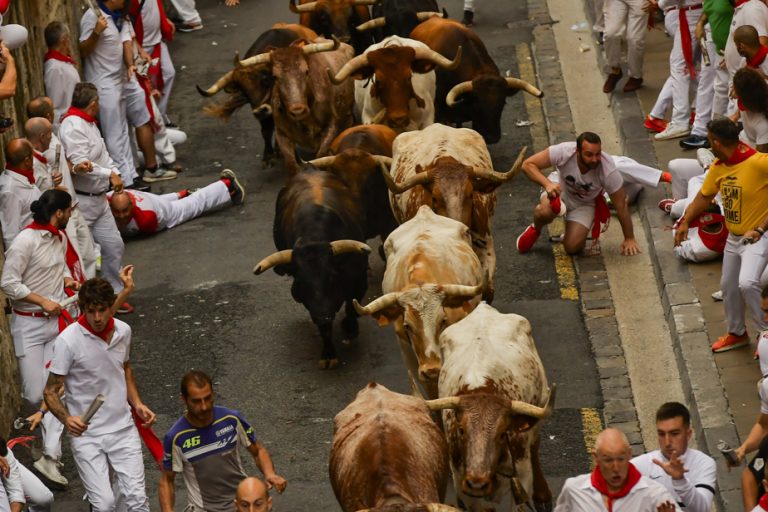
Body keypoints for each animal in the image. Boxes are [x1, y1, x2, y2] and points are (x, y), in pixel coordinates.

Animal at [238, 37, 356, 175]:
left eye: (306, 71)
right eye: (275, 76)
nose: (298, 111)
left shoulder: (331, 125)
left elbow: (321, 156)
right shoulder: (282, 134)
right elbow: (292, 164)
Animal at [254, 168, 370, 368]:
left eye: (331, 276)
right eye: (302, 282)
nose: (324, 316)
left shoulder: (360, 276)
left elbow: (352, 306)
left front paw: (350, 329)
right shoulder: (313, 304)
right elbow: (324, 328)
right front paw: (328, 354)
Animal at [426, 304, 560, 512]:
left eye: (503, 433)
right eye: (461, 430)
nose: (477, 483)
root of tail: (483, 308)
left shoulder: (522, 475)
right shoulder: (464, 486)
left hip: (539, 406)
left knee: (535, 445)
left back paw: (542, 496)